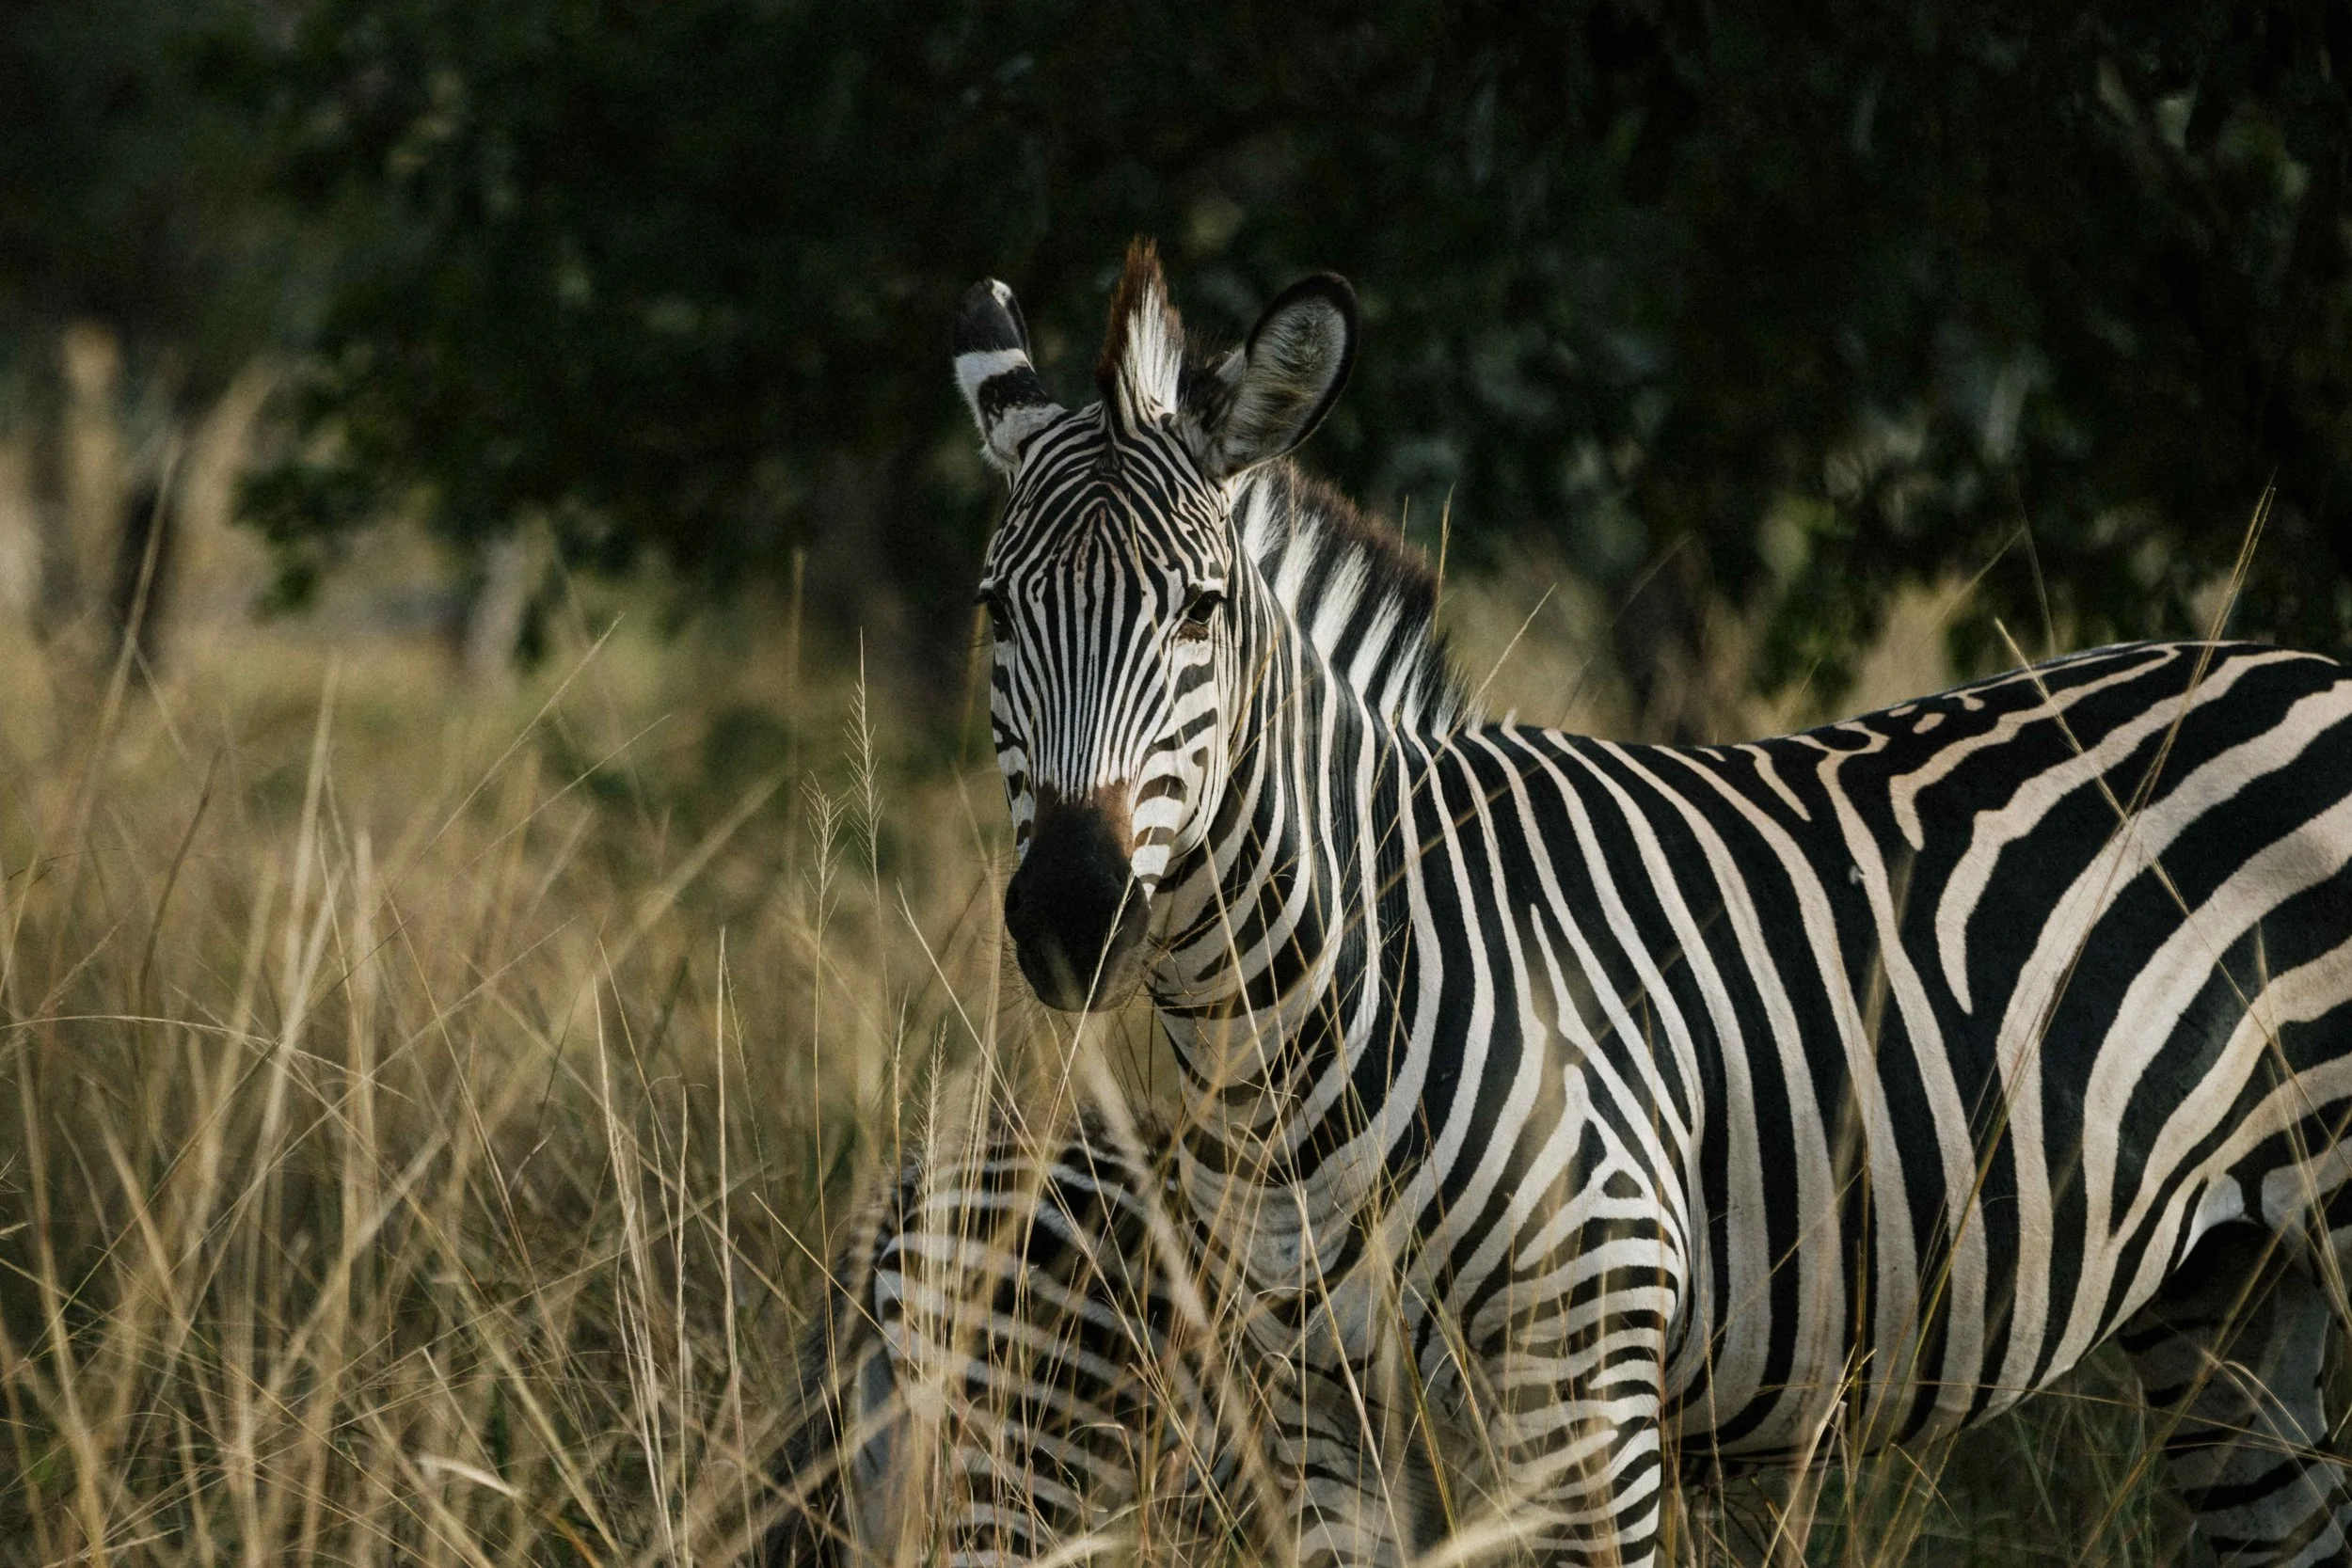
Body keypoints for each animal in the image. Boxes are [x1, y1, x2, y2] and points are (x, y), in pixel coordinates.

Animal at [951, 236, 2352, 1568]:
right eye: (995, 611)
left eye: (1201, 610)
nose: (1073, 912)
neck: (1288, 1034)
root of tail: (2310, 666)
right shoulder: (1321, 1407)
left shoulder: (1589, 1376)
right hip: (2230, 1302)